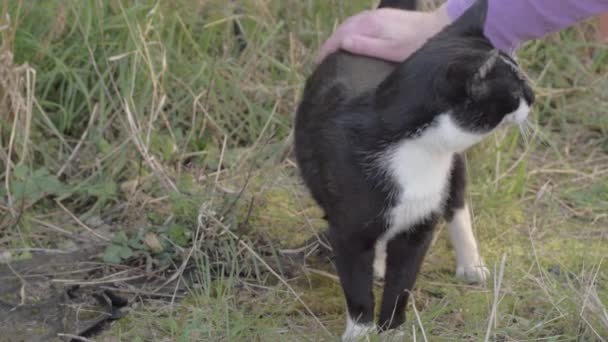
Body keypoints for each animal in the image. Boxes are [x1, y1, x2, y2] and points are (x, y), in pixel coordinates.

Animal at [292, 0, 536, 338]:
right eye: (515, 91)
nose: (534, 97)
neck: (417, 151)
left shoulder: (419, 227)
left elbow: (403, 280)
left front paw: (392, 329)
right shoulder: (348, 229)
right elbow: (356, 281)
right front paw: (360, 330)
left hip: (453, 173)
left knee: (456, 202)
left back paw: (470, 264)